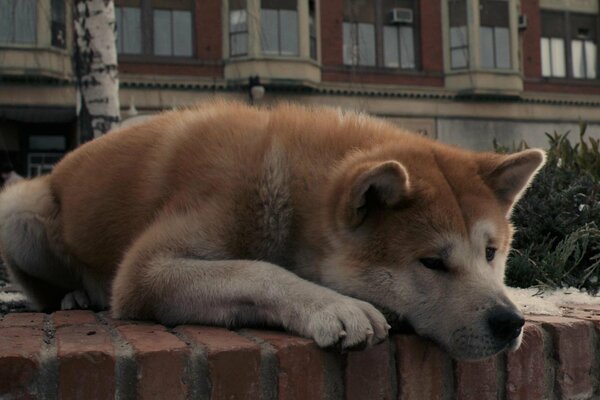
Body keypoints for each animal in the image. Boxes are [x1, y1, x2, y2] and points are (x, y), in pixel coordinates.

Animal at [0, 101, 544, 360]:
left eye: (491, 253)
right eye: (432, 262)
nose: (509, 322)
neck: (289, 190)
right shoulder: (144, 271)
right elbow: (258, 270)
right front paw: (333, 305)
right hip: (18, 212)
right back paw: (75, 296)